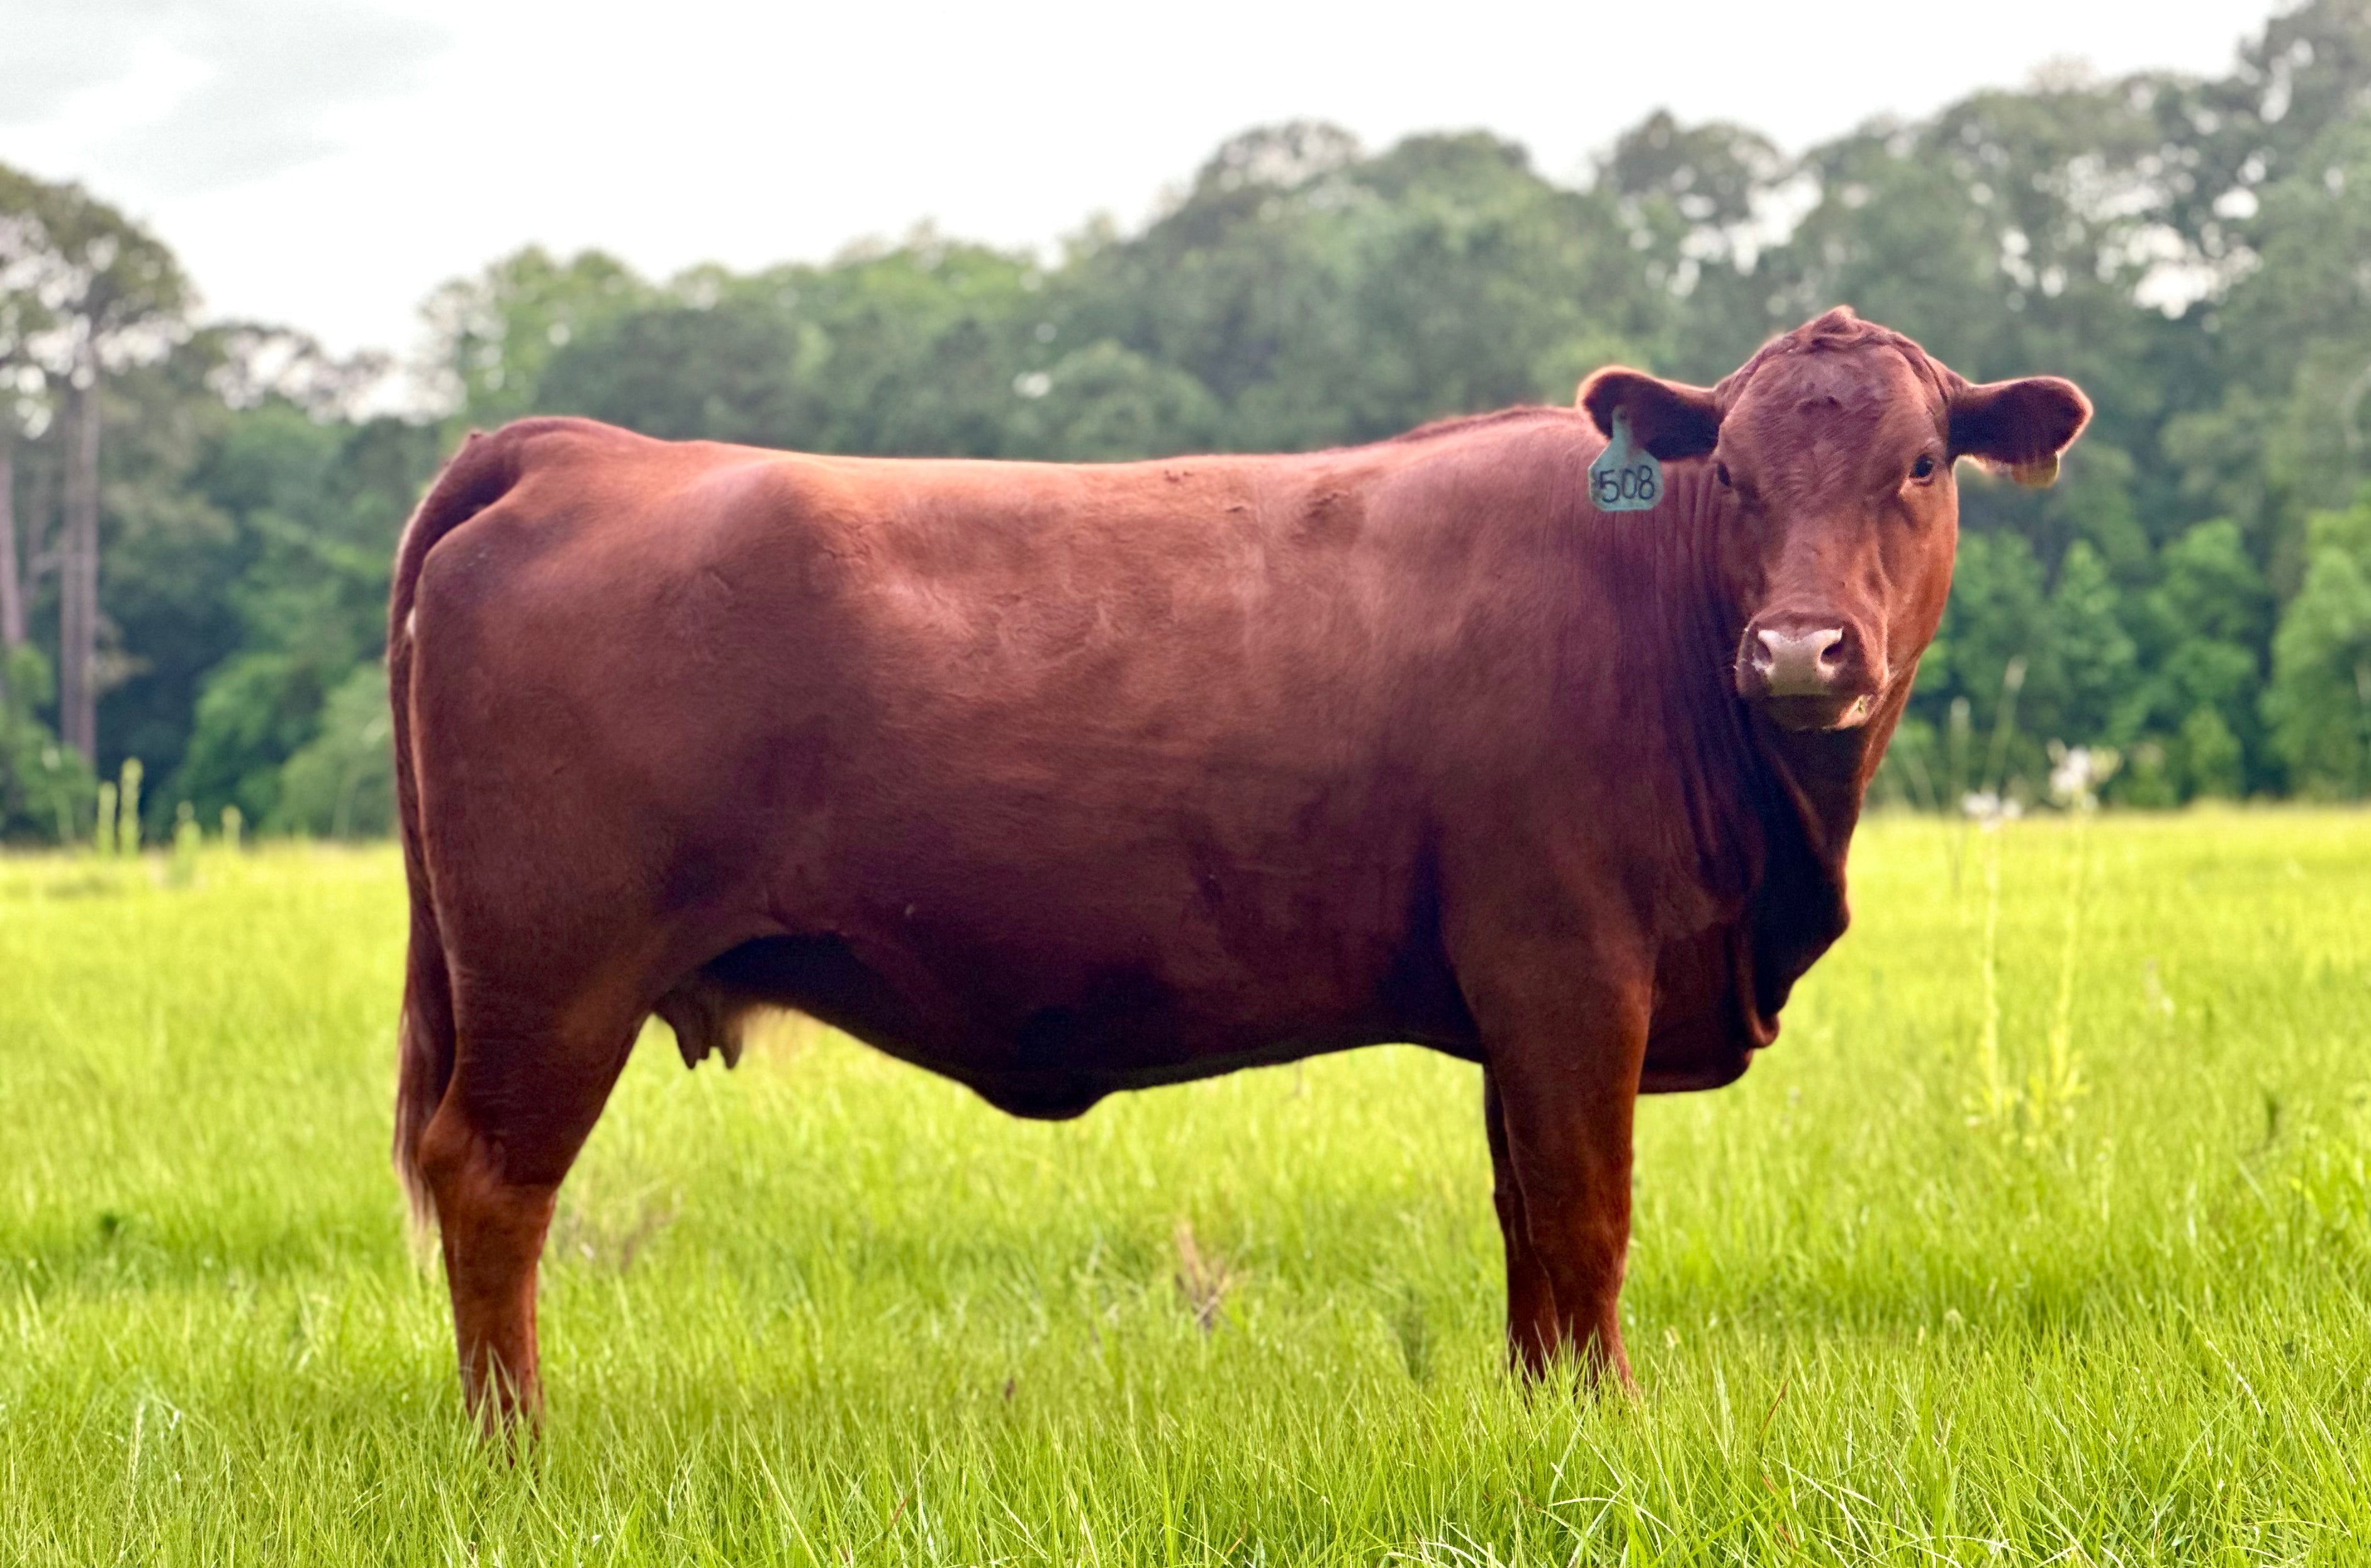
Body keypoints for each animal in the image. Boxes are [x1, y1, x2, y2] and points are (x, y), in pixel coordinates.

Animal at [388, 307, 2088, 1420]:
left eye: (1920, 463)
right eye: (1728, 471)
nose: (1799, 649)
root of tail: (579, 450)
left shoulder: (1520, 1002)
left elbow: (1526, 1220)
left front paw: (1538, 1412)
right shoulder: (1568, 965)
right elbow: (1586, 1214)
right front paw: (1604, 1420)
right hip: (555, 971)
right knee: (491, 1183)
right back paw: (513, 1444)